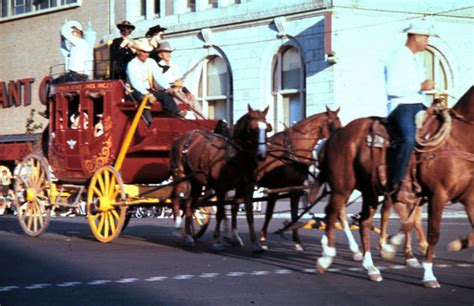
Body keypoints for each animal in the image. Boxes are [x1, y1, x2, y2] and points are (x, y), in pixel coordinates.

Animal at [170, 105, 270, 251]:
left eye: (267, 128)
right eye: (252, 129)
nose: (261, 156)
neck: (235, 156)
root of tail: (180, 138)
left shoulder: (246, 187)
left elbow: (246, 213)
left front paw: (253, 243)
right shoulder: (221, 188)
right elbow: (220, 213)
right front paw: (217, 241)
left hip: (196, 182)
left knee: (188, 205)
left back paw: (189, 236)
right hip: (181, 176)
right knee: (177, 198)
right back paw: (178, 227)